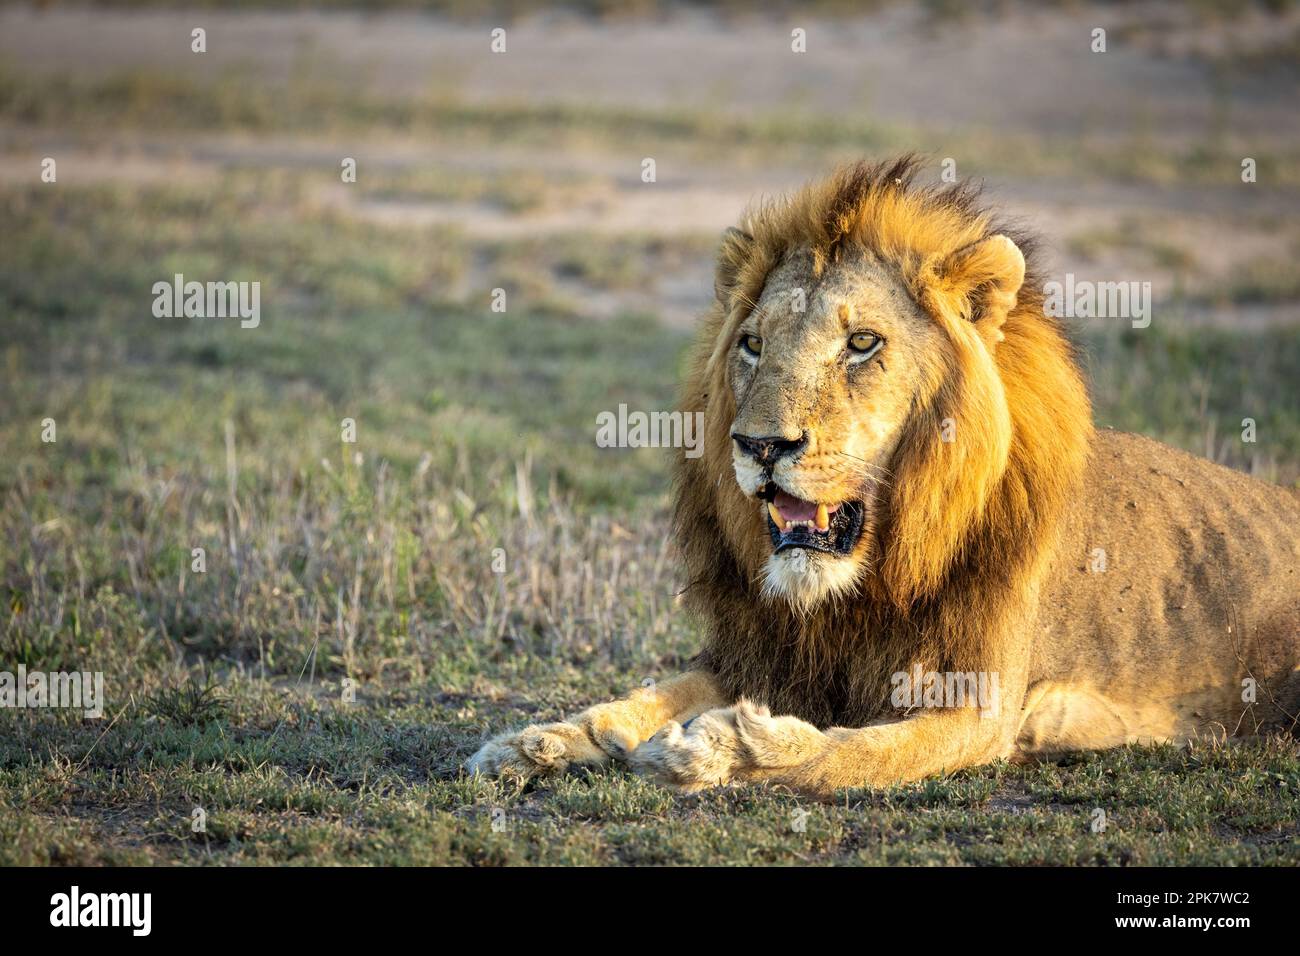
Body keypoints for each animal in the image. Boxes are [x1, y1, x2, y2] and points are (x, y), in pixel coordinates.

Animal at [467, 156, 1300, 796]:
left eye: (862, 343)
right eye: (752, 343)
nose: (760, 444)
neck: (859, 590)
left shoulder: (979, 706)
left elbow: (849, 752)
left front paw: (721, 748)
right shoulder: (764, 657)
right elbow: (640, 698)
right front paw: (535, 741)